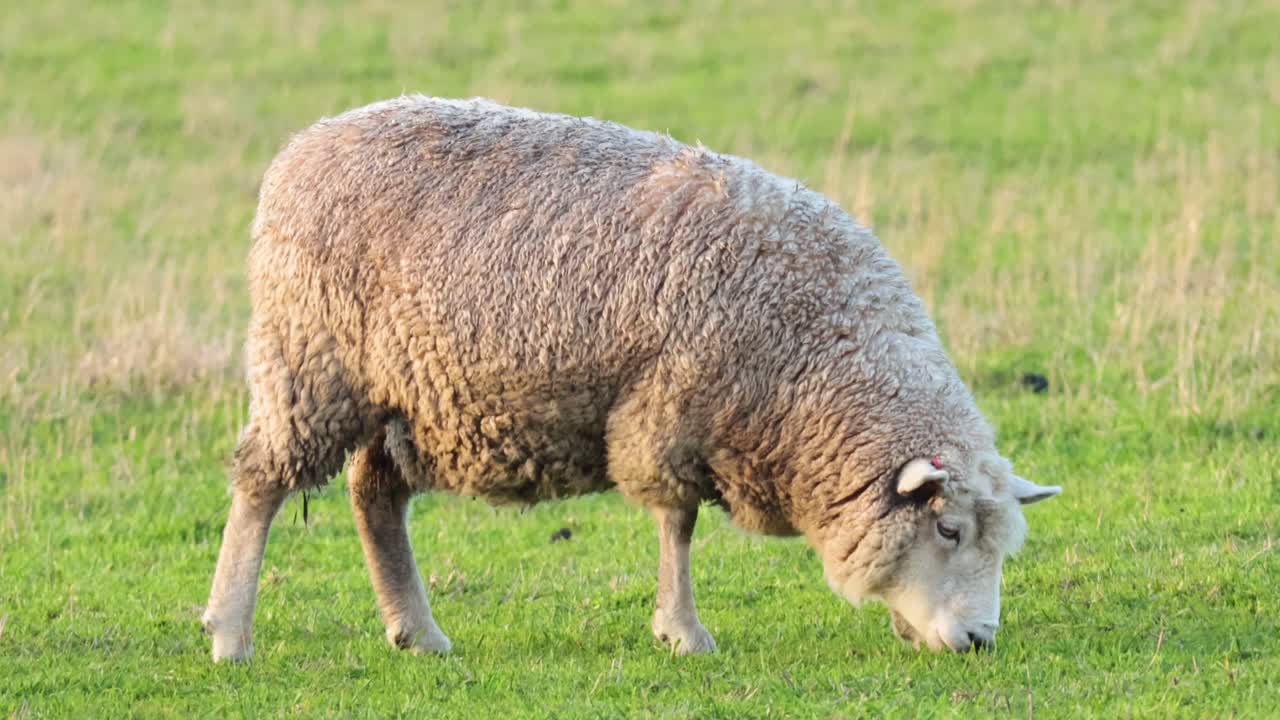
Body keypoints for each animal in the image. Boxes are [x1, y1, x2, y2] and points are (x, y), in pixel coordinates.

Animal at [203, 95, 1061, 661]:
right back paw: (230, 633)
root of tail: (308, 143)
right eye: (947, 530)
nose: (980, 639)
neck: (818, 353)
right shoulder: (666, 410)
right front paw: (683, 632)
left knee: (374, 495)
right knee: (262, 481)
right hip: (309, 362)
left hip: (405, 393)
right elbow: (677, 525)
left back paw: (419, 632)